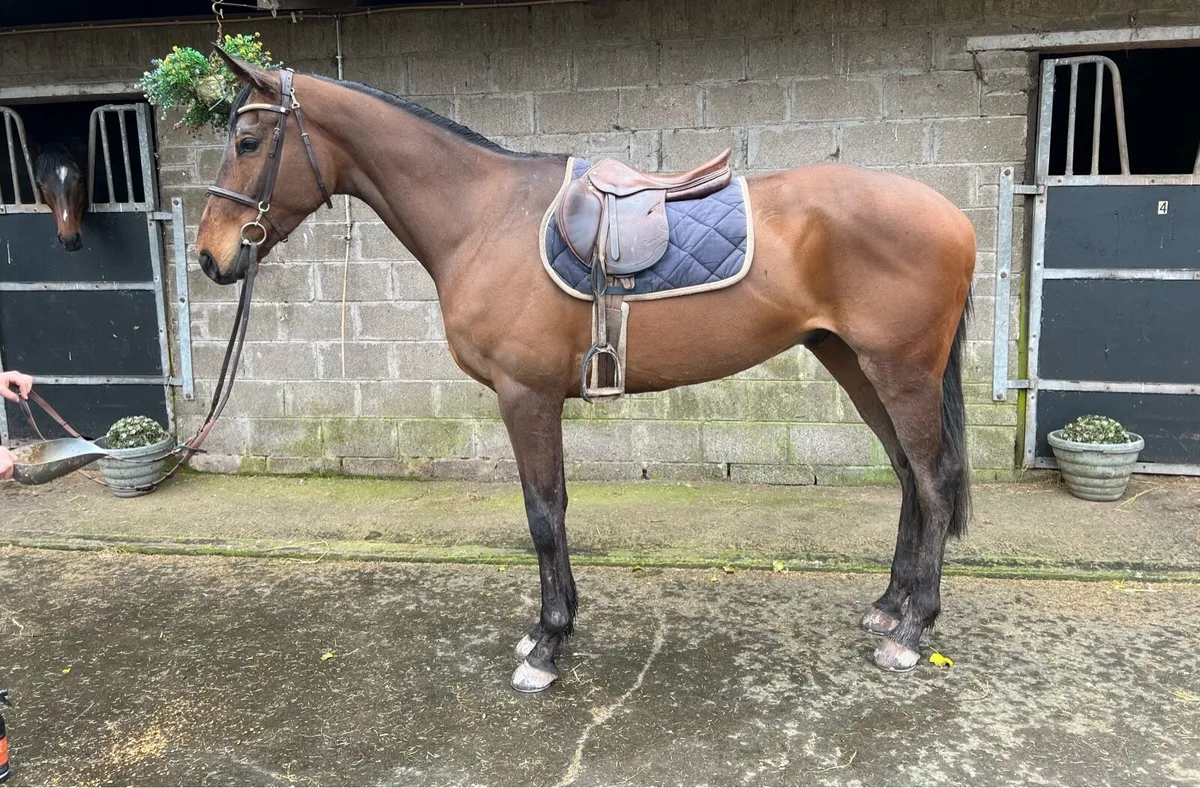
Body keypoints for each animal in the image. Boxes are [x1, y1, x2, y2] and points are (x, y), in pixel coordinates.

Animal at [196, 51, 976, 693]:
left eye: (247, 142)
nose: (211, 257)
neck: (485, 216)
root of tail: (954, 217)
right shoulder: (541, 399)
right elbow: (558, 506)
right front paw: (555, 625)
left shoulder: (526, 396)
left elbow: (542, 513)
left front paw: (547, 647)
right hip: (852, 362)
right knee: (908, 474)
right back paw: (889, 606)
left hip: (900, 371)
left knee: (934, 480)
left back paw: (913, 632)